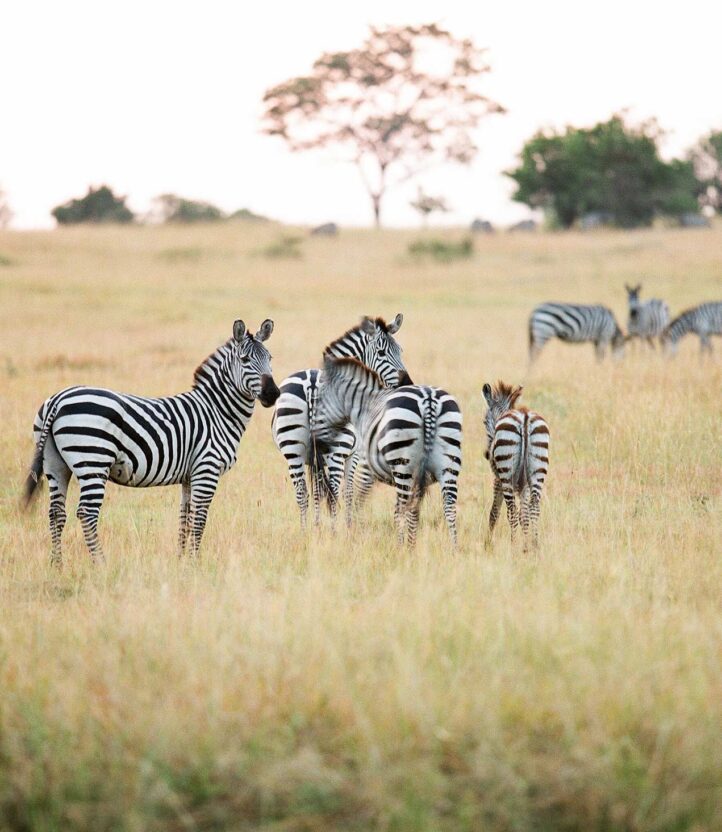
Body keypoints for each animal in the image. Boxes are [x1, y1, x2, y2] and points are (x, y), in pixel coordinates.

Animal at [22, 318, 282, 564]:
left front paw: (182, 561)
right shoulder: (206, 469)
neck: (217, 411)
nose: (273, 394)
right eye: (245, 359)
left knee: (56, 513)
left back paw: (57, 565)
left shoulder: (189, 475)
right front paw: (195, 561)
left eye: (270, 358)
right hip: (93, 460)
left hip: (55, 464)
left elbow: (185, 517)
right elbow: (199, 518)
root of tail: (58, 398)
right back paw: (101, 564)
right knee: (86, 513)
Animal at [272, 316, 410, 528]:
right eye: (381, 353)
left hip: (292, 449)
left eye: (400, 350)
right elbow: (348, 492)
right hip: (337, 449)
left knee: (302, 494)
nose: (407, 383)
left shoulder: (314, 460)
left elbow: (317, 492)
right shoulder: (354, 455)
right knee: (334, 492)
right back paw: (335, 530)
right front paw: (348, 526)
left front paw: (317, 526)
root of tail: (312, 384)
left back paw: (304, 531)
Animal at [310, 356, 462, 544]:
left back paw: (402, 547)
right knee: (449, 508)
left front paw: (355, 532)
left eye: (319, 402)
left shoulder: (366, 467)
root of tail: (428, 400)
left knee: (404, 508)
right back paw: (452, 547)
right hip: (449, 464)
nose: (316, 443)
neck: (366, 405)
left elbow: (358, 499)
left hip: (403, 465)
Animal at [480, 382, 548, 552]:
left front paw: (487, 543)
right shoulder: (525, 485)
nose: (487, 454)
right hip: (538, 470)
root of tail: (525, 416)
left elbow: (494, 512)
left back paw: (513, 545)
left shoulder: (497, 479)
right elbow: (524, 515)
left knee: (511, 511)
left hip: (506, 474)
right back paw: (535, 545)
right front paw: (526, 546)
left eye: (484, 421)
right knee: (534, 507)